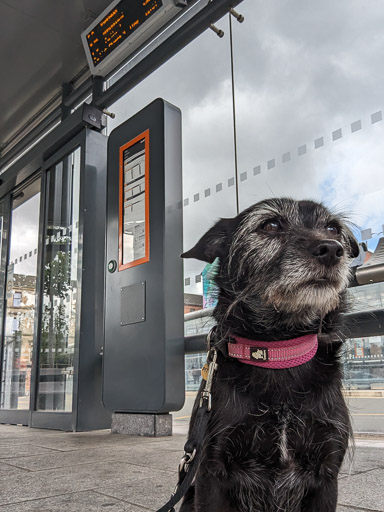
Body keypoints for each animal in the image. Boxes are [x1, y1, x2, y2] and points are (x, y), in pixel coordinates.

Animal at [180, 198, 360, 512]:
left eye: (332, 228)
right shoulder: (210, 472)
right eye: (271, 225)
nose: (331, 249)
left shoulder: (327, 474)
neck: (278, 352)